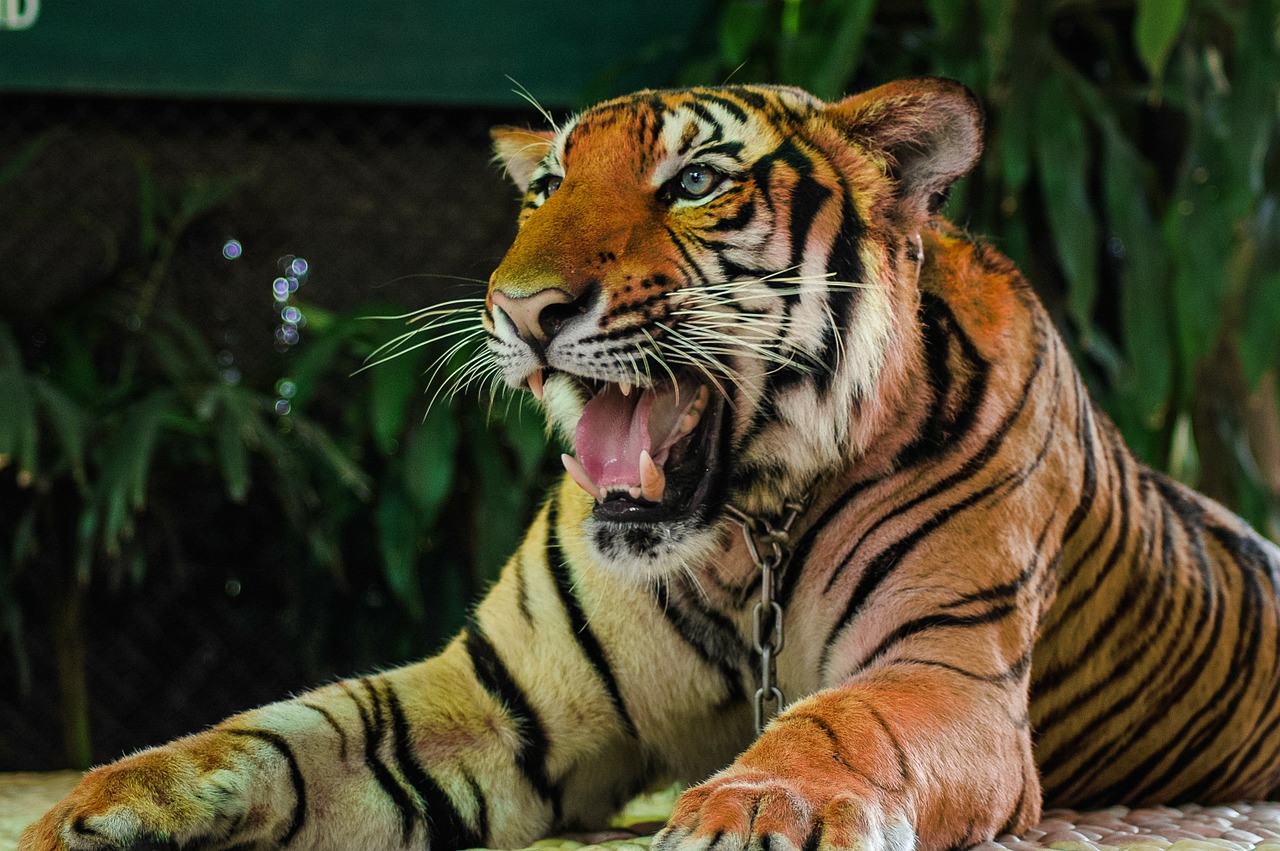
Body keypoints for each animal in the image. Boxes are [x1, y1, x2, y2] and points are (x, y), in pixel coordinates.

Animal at [22, 78, 1280, 849]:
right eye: (543, 189)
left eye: (694, 183)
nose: (522, 309)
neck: (746, 529)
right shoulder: (498, 695)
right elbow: (297, 726)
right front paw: (98, 799)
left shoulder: (944, 674)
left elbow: (841, 720)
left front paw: (759, 806)